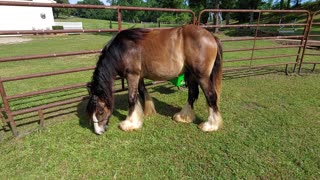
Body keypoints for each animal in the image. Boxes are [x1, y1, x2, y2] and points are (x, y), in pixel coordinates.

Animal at [86, 23, 224, 134]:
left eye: (100, 111)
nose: (99, 132)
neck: (122, 49)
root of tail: (211, 36)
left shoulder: (132, 75)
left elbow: (131, 98)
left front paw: (129, 123)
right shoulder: (139, 76)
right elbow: (141, 93)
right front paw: (146, 113)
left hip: (202, 76)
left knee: (210, 96)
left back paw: (210, 125)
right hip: (190, 74)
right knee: (192, 94)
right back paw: (183, 117)